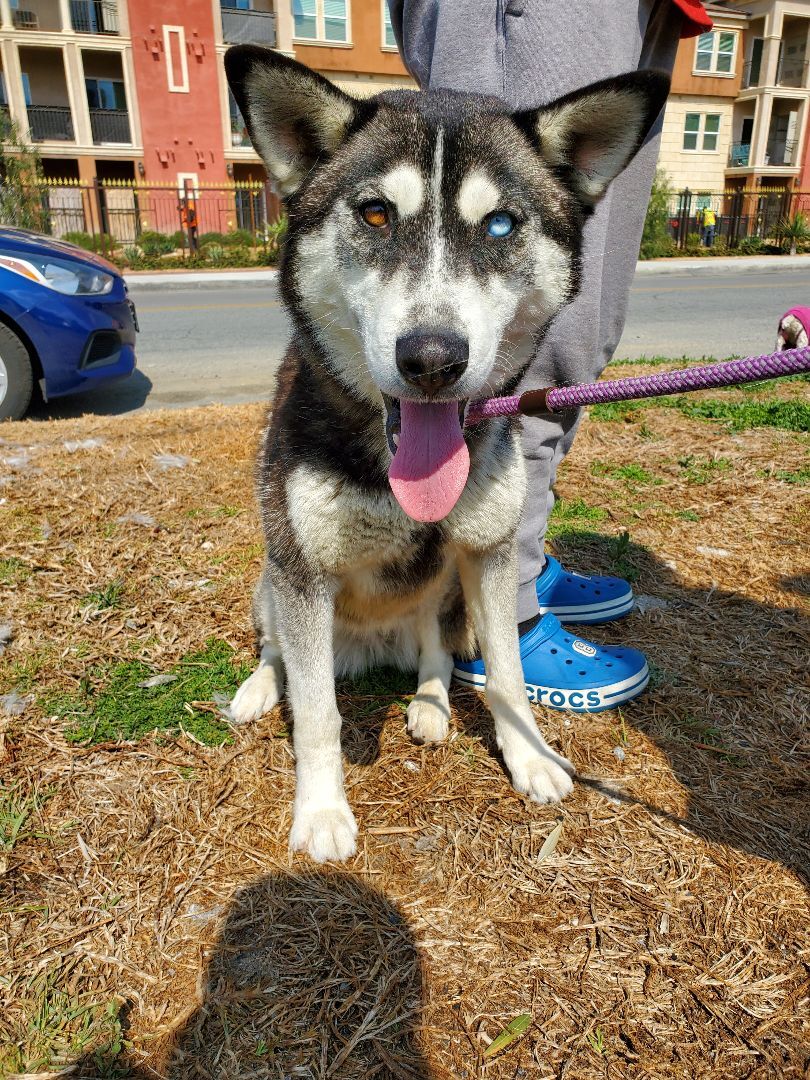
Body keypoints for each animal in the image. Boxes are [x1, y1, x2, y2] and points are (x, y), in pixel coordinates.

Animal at [225, 48, 669, 859]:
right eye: (375, 213)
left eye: (499, 224)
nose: (432, 358)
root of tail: (367, 651)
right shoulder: (301, 571)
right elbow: (319, 714)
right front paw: (322, 812)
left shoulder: (488, 554)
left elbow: (506, 676)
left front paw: (529, 756)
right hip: (270, 585)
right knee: (280, 653)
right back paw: (259, 688)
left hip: (446, 597)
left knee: (433, 650)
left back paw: (430, 704)